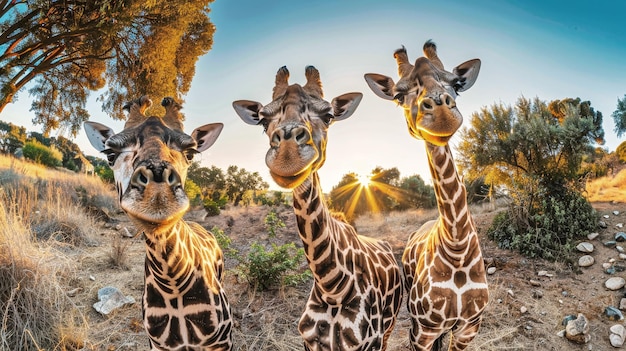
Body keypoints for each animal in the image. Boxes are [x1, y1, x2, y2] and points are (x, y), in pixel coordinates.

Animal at [81, 95, 230, 350]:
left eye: (190, 153)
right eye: (110, 154)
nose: (158, 197)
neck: (173, 284)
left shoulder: (223, 340)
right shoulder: (158, 344)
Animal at [232, 66, 402, 351]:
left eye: (329, 115)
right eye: (263, 121)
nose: (287, 157)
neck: (332, 287)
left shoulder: (369, 342)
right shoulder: (311, 342)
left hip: (389, 328)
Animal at [360, 40, 488, 350]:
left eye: (456, 84)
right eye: (398, 95)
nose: (441, 115)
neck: (457, 248)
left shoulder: (469, 328)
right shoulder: (423, 330)